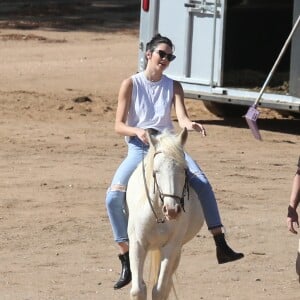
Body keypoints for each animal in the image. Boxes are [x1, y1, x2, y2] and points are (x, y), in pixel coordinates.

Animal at [126, 128, 204, 300]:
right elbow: (138, 290)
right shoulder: (137, 244)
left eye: (184, 170)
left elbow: (160, 289)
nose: (172, 210)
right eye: (156, 171)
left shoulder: (171, 247)